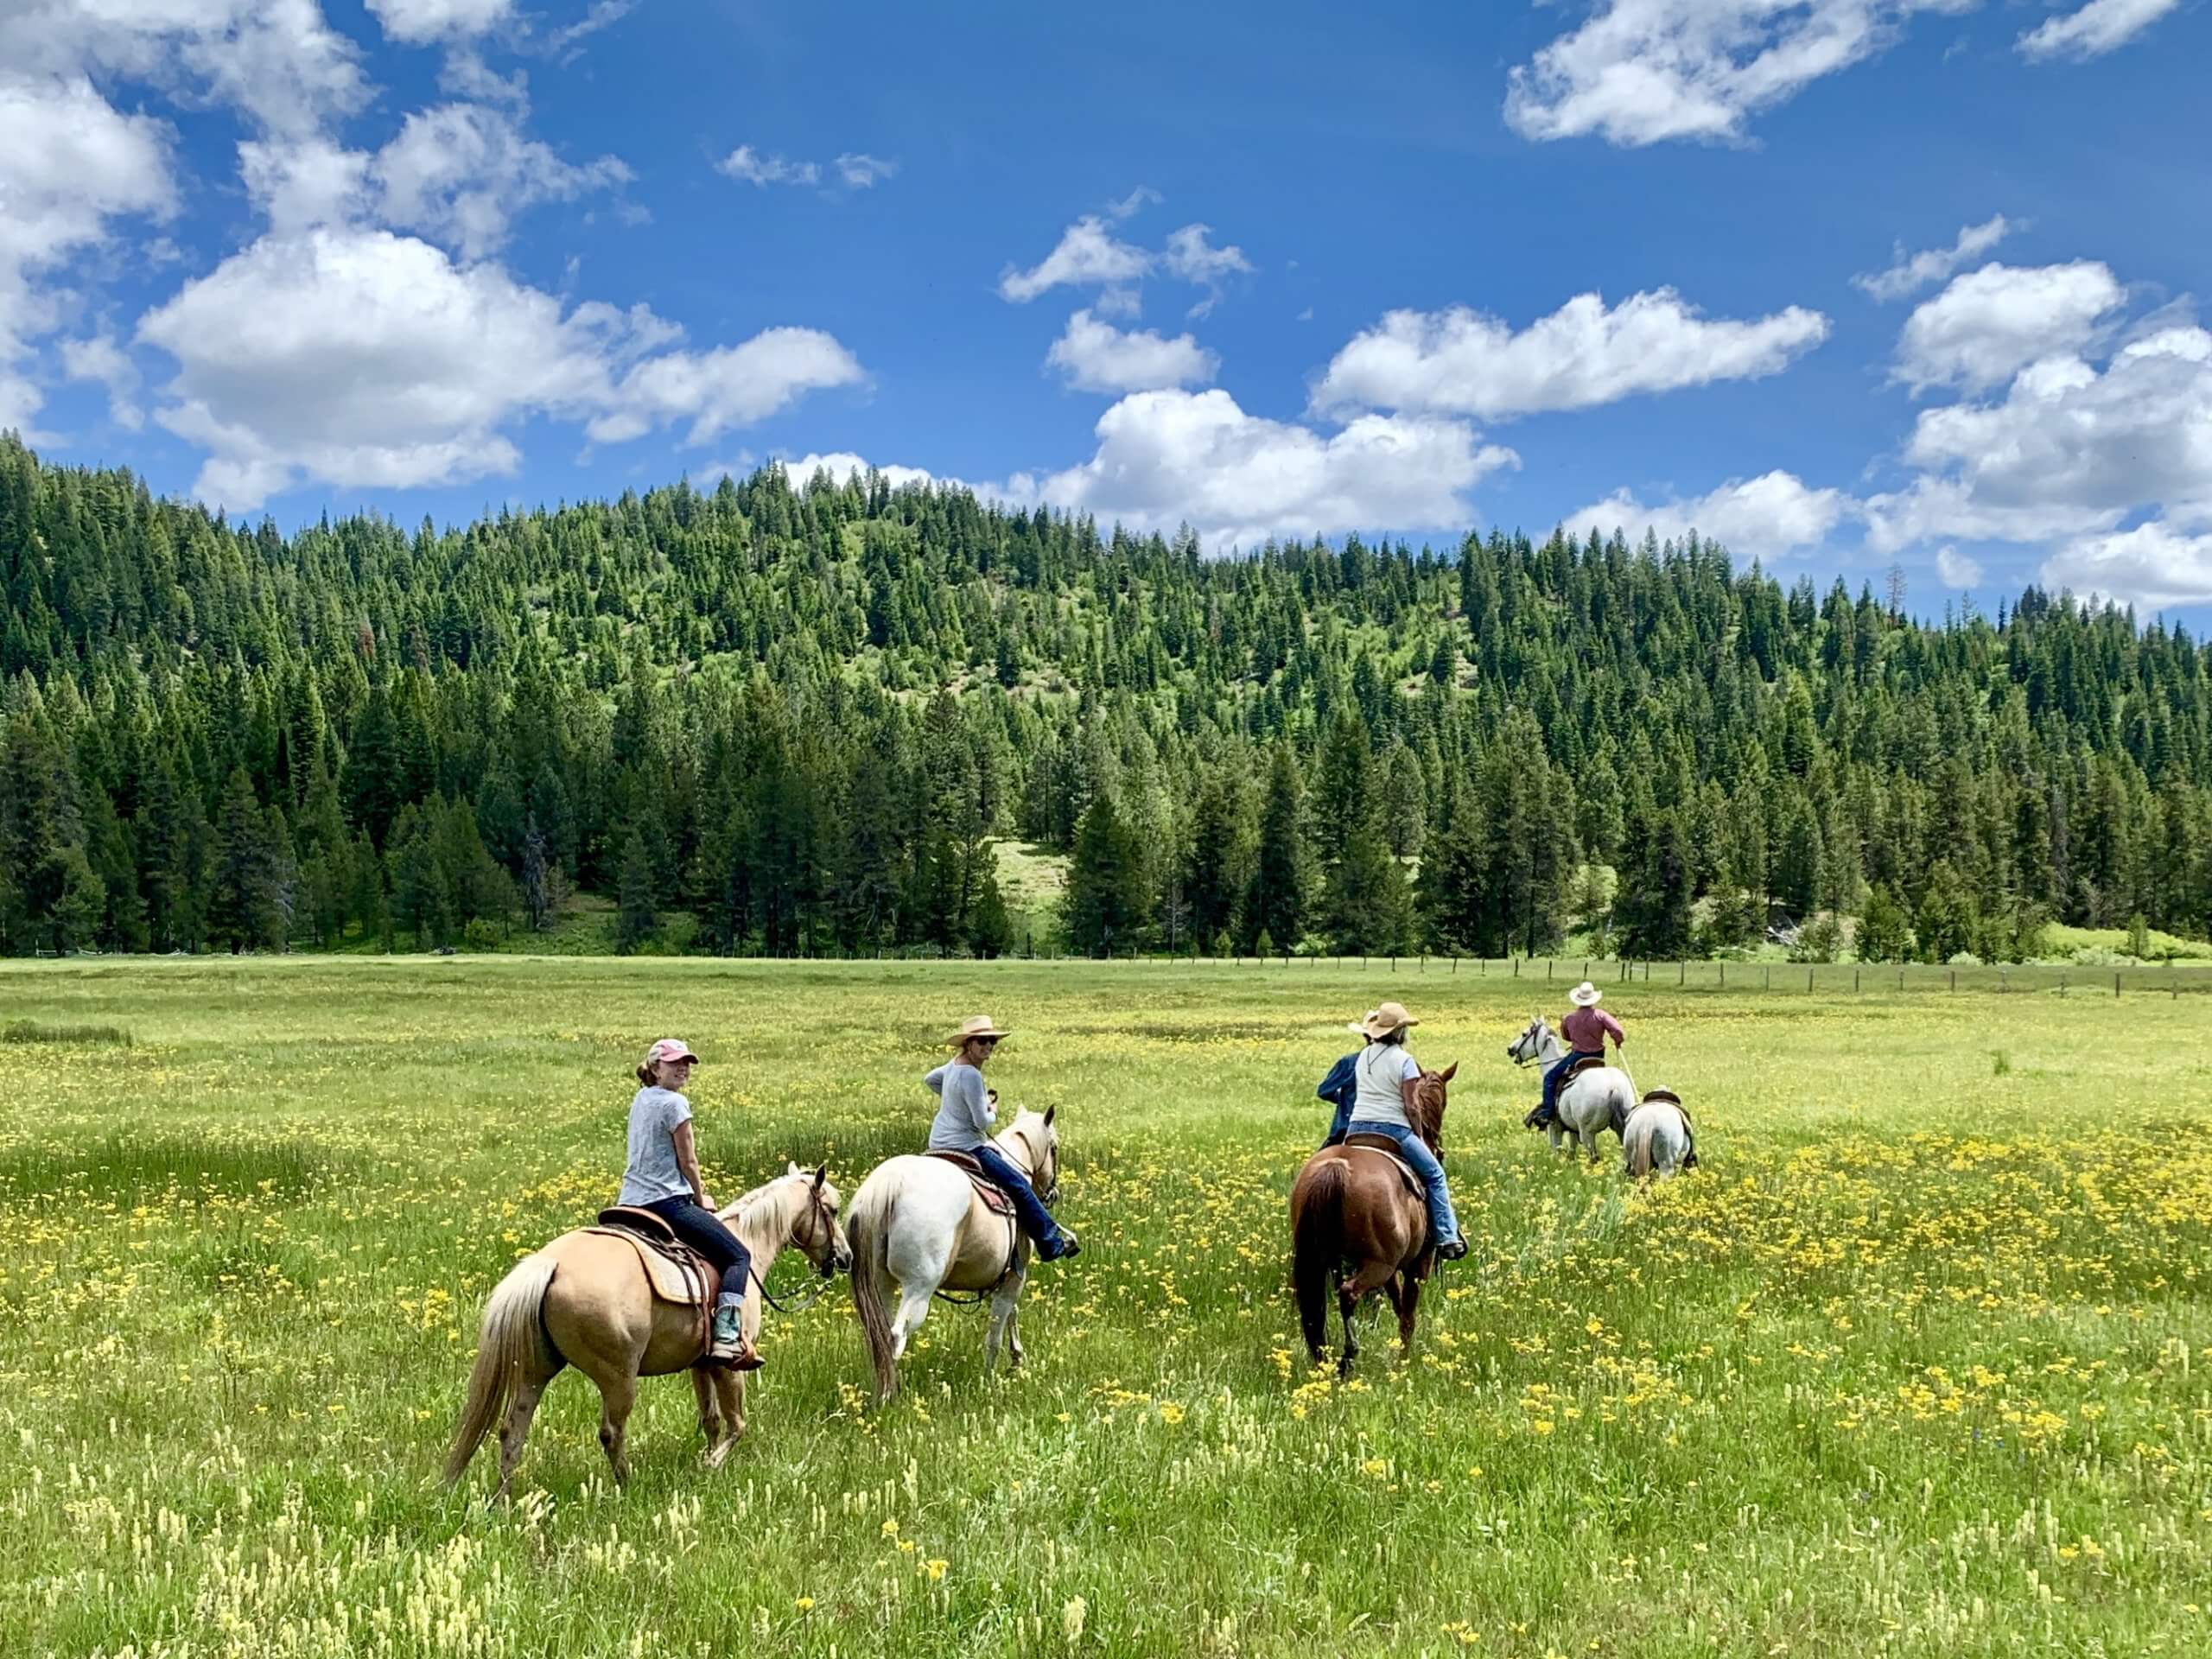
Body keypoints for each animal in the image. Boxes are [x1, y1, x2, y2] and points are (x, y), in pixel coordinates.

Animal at [440, 1159, 844, 1503]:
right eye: (834, 1210)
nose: (845, 1257)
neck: (748, 1243)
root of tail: (550, 1263)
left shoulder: (701, 1364)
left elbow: (711, 1421)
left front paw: (708, 1462)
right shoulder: (728, 1364)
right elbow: (737, 1425)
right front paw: (711, 1464)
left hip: (534, 1369)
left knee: (512, 1430)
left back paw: (502, 1502)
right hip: (618, 1375)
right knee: (611, 1432)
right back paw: (627, 1486)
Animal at [836, 1119, 1061, 1407]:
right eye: (1054, 1147)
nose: (1052, 1194)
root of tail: (890, 1185)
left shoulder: (994, 1280)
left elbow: (1010, 1315)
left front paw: (1016, 1360)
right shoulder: (1014, 1279)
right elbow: (996, 1333)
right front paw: (991, 1379)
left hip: (880, 1284)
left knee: (878, 1335)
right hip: (918, 1289)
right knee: (896, 1335)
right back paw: (890, 1396)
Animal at [1292, 1065, 1459, 1380]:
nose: (1438, 1148)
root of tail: (1337, 1168)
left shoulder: (1392, 1270)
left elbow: (1398, 1304)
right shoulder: (1418, 1263)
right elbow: (1408, 1312)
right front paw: (1404, 1359)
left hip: (1324, 1259)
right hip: (1378, 1265)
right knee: (1348, 1294)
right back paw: (1348, 1356)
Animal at [1503, 1021, 1645, 1159]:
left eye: (1524, 1034)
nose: (1510, 1049)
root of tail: (1614, 1086)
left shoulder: (1554, 1127)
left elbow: (1556, 1150)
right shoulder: (1572, 1130)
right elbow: (1571, 1151)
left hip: (1587, 1133)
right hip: (1621, 1130)